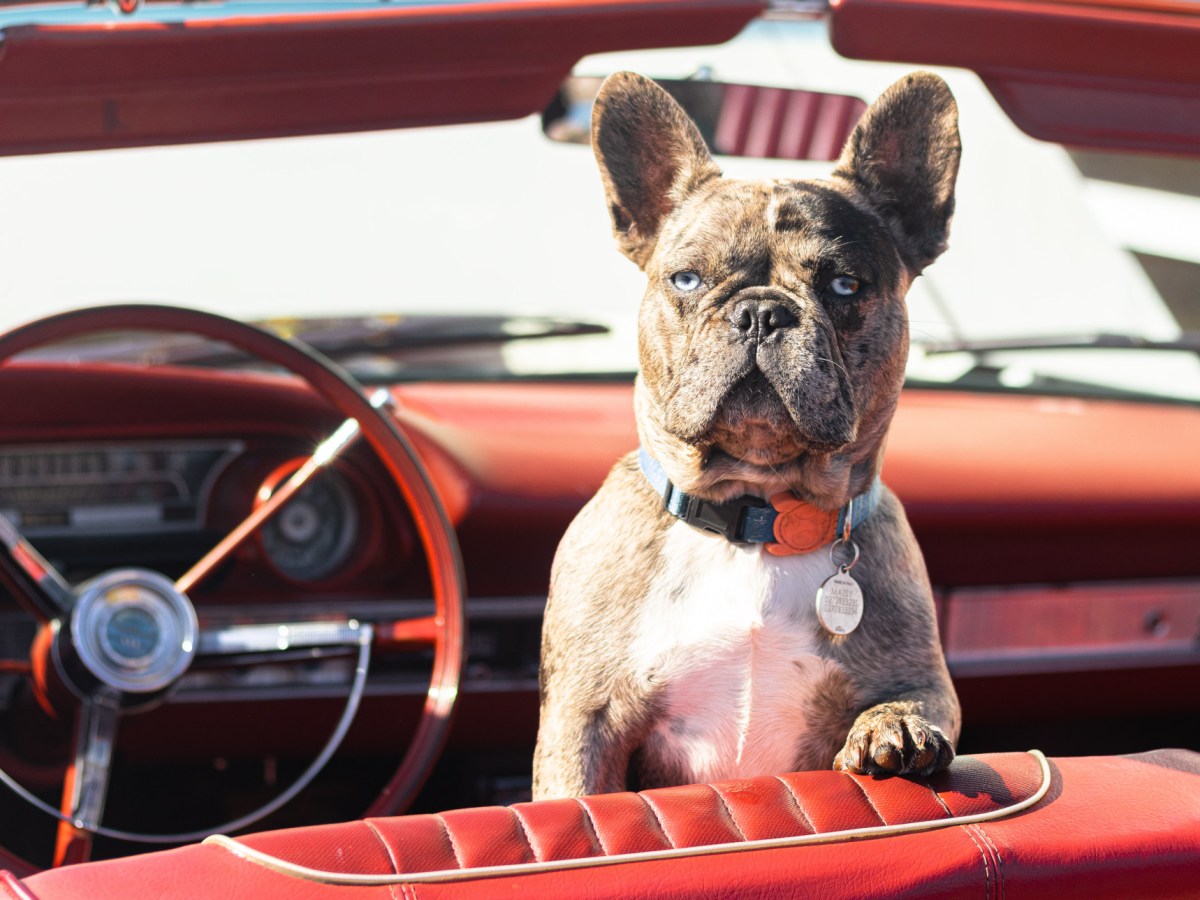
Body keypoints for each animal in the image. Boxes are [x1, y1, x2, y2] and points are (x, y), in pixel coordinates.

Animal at [532, 74, 955, 801]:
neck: (757, 516)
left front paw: (894, 729)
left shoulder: (924, 679)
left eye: (845, 284)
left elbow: (913, 701)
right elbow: (575, 797)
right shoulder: (583, 721)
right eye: (687, 279)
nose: (761, 312)